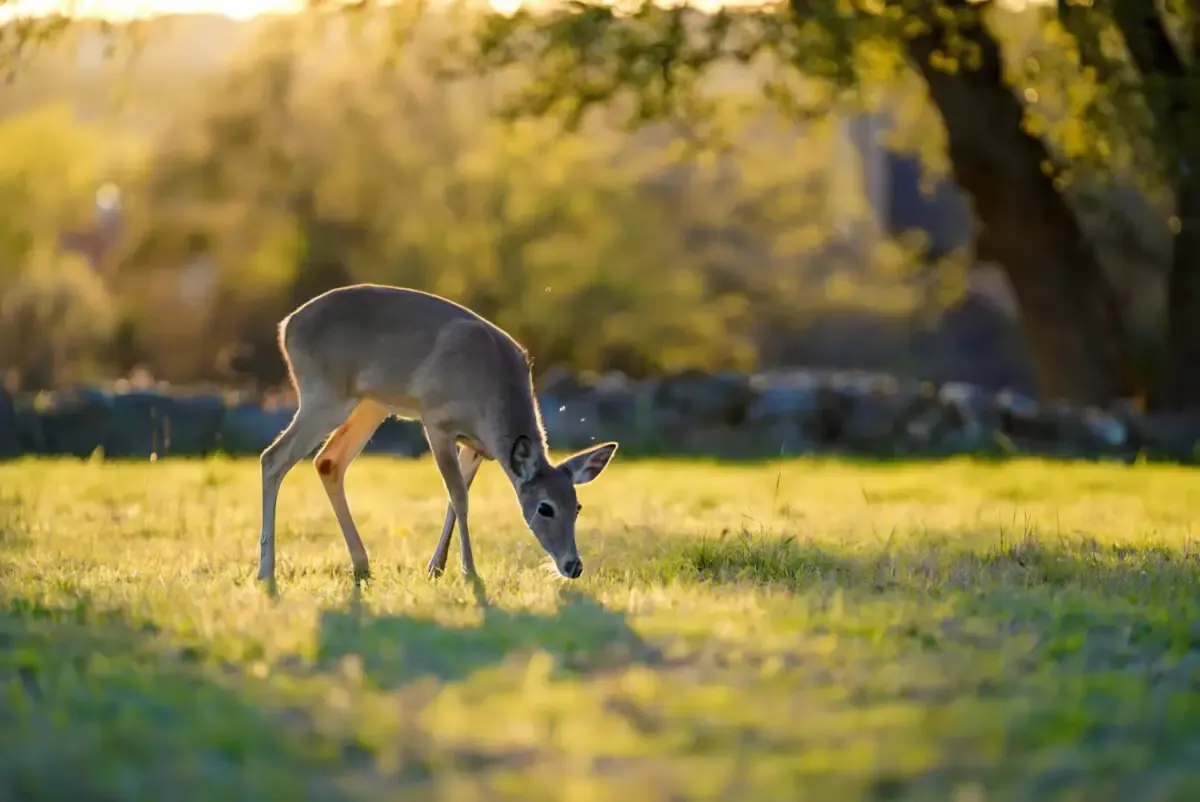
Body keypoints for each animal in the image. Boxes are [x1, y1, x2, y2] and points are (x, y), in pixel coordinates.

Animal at [256, 284, 619, 585]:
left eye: (577, 506)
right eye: (545, 508)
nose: (574, 566)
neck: (490, 391)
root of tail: (286, 325)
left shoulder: (477, 446)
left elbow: (455, 498)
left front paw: (437, 567)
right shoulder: (436, 420)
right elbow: (459, 496)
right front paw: (469, 572)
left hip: (370, 403)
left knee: (328, 461)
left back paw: (361, 564)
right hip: (325, 394)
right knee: (273, 457)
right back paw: (265, 571)